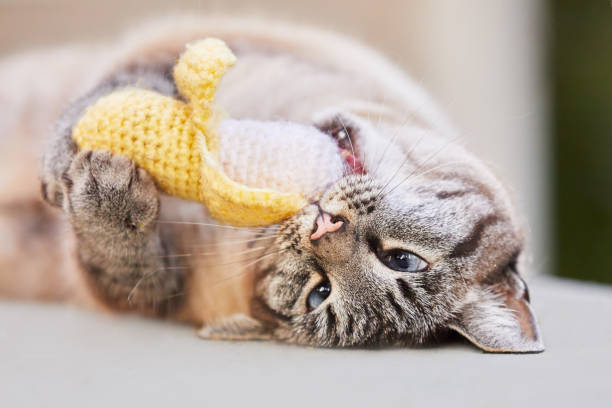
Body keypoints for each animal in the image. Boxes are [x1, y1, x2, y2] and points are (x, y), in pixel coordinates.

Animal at [1, 15, 544, 352]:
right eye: (403, 259)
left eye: (319, 293)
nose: (325, 229)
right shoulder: (206, 43)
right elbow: (127, 87)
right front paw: (74, 144)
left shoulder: (147, 294)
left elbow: (123, 258)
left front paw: (107, 193)